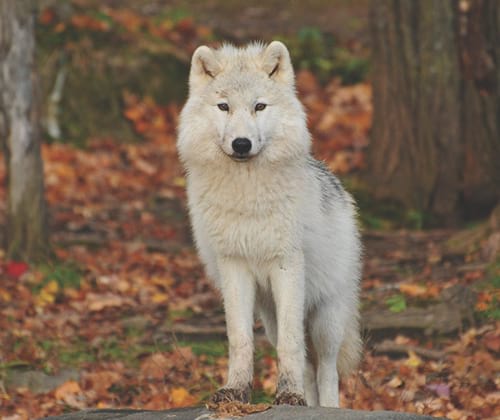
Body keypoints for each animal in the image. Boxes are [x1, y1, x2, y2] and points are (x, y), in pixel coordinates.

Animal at [178, 41, 362, 406]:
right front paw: (235, 390)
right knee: (308, 367)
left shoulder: (286, 264)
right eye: (224, 106)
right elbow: (239, 339)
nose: (241, 144)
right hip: (270, 316)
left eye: (259, 106)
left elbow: (292, 346)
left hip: (326, 318)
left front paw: (288, 393)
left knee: (327, 370)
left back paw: (325, 406)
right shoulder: (233, 265)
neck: (247, 196)